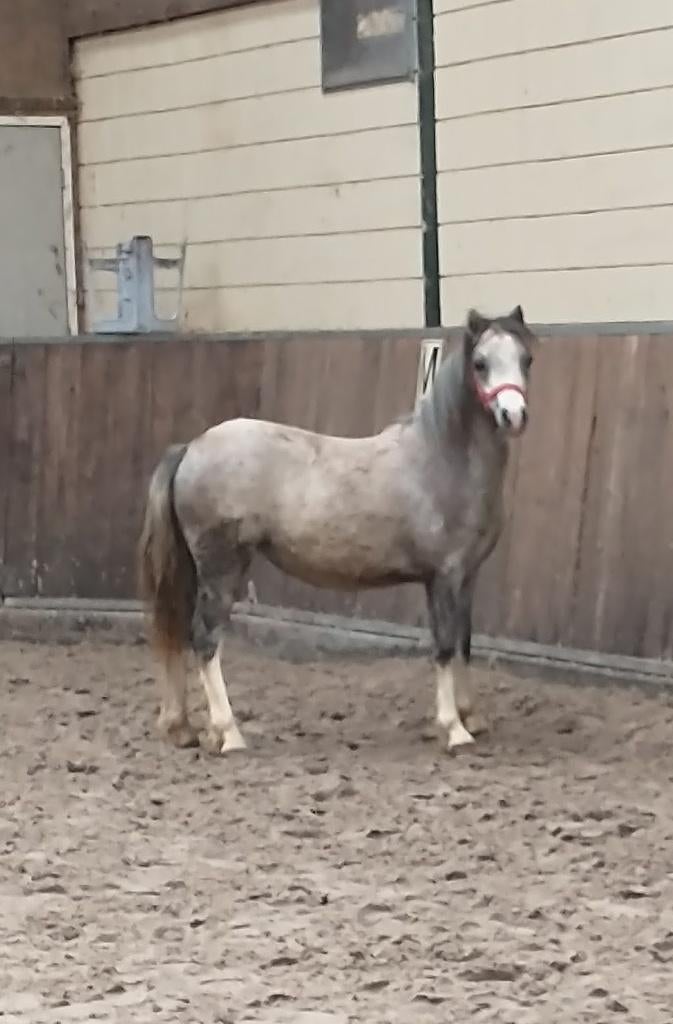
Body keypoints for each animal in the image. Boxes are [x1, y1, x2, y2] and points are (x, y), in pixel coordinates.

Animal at [139, 306, 536, 755]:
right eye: (481, 363)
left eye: (526, 359)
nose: (513, 416)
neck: (441, 460)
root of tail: (191, 448)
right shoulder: (443, 578)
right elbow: (445, 647)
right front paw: (453, 728)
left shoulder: (467, 578)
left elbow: (465, 643)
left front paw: (473, 717)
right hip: (222, 569)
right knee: (205, 640)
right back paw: (229, 733)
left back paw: (185, 727)